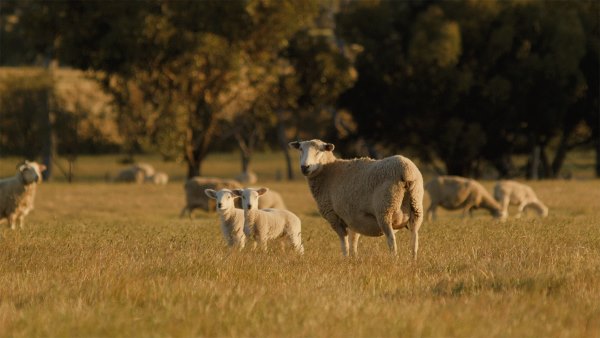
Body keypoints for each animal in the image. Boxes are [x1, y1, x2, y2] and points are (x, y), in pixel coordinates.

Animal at [290, 139, 422, 260]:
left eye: (319, 150)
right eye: (300, 149)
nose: (305, 167)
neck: (328, 172)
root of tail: (406, 170)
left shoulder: (334, 217)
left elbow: (344, 243)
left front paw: (345, 259)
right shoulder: (354, 219)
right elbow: (353, 241)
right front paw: (354, 259)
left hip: (385, 209)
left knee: (391, 240)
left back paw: (394, 261)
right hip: (416, 207)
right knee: (414, 239)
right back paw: (413, 261)